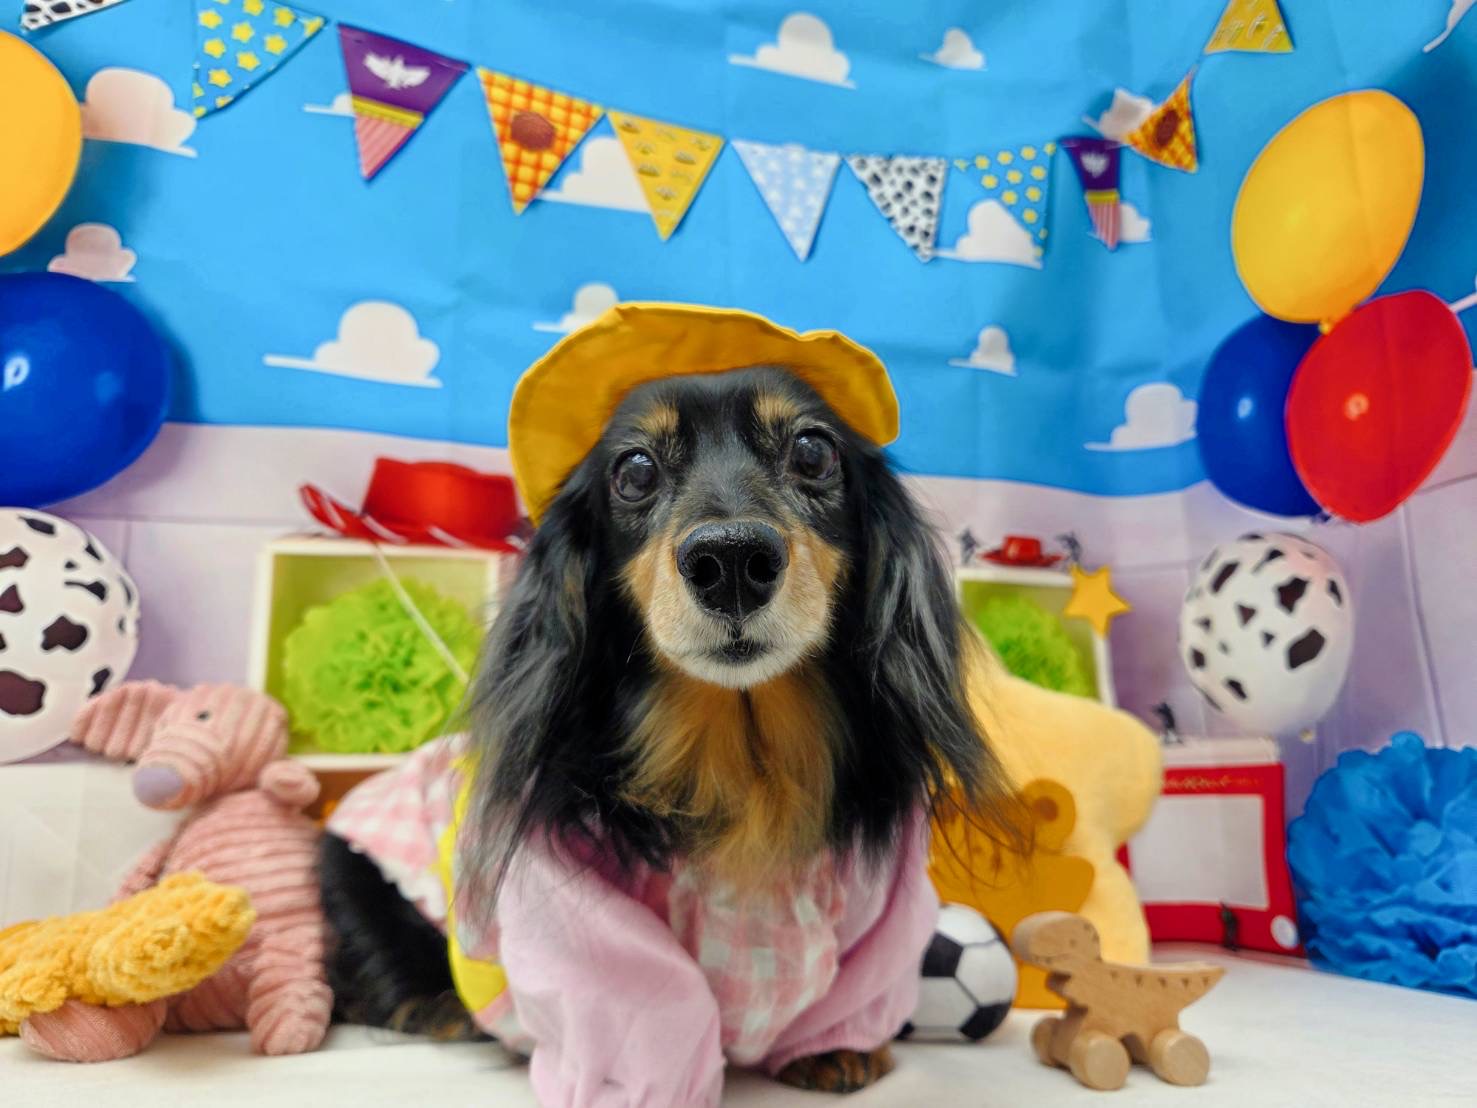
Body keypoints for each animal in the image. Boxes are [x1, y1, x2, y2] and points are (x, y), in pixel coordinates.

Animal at [320, 360, 1015, 1101]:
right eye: (634, 470)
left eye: (813, 452)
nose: (732, 563)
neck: (746, 755)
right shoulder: (575, 917)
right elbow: (647, 998)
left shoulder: (882, 911)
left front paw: (834, 1049)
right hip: (355, 875)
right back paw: (442, 1007)